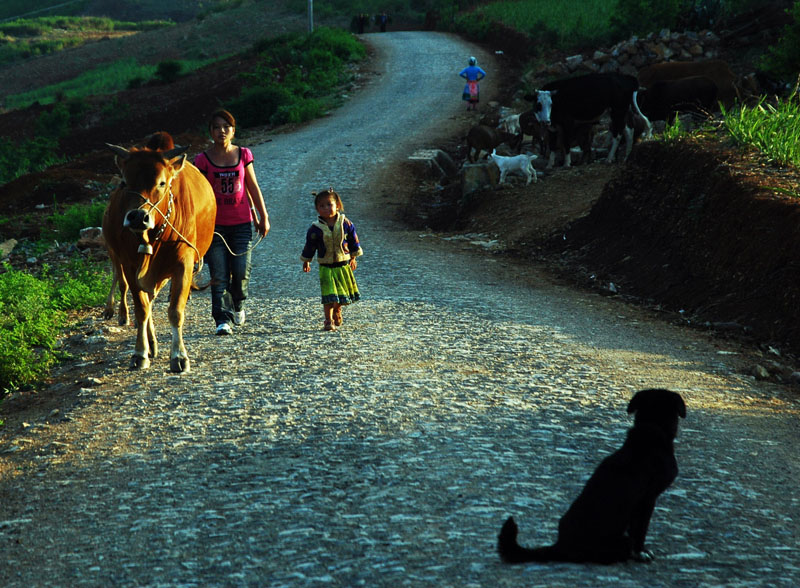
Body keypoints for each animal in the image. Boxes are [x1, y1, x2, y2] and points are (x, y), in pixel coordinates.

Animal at [102, 141, 216, 372]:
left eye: (162, 183)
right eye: (124, 182)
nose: (137, 216)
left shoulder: (183, 264)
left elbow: (175, 311)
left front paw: (179, 356)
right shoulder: (130, 265)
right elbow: (141, 309)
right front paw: (139, 353)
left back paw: (153, 343)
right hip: (116, 255)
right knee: (129, 290)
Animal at [496, 388, 684, 564]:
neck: (651, 428)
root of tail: (560, 546)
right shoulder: (647, 499)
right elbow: (640, 530)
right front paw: (641, 553)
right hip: (620, 541)